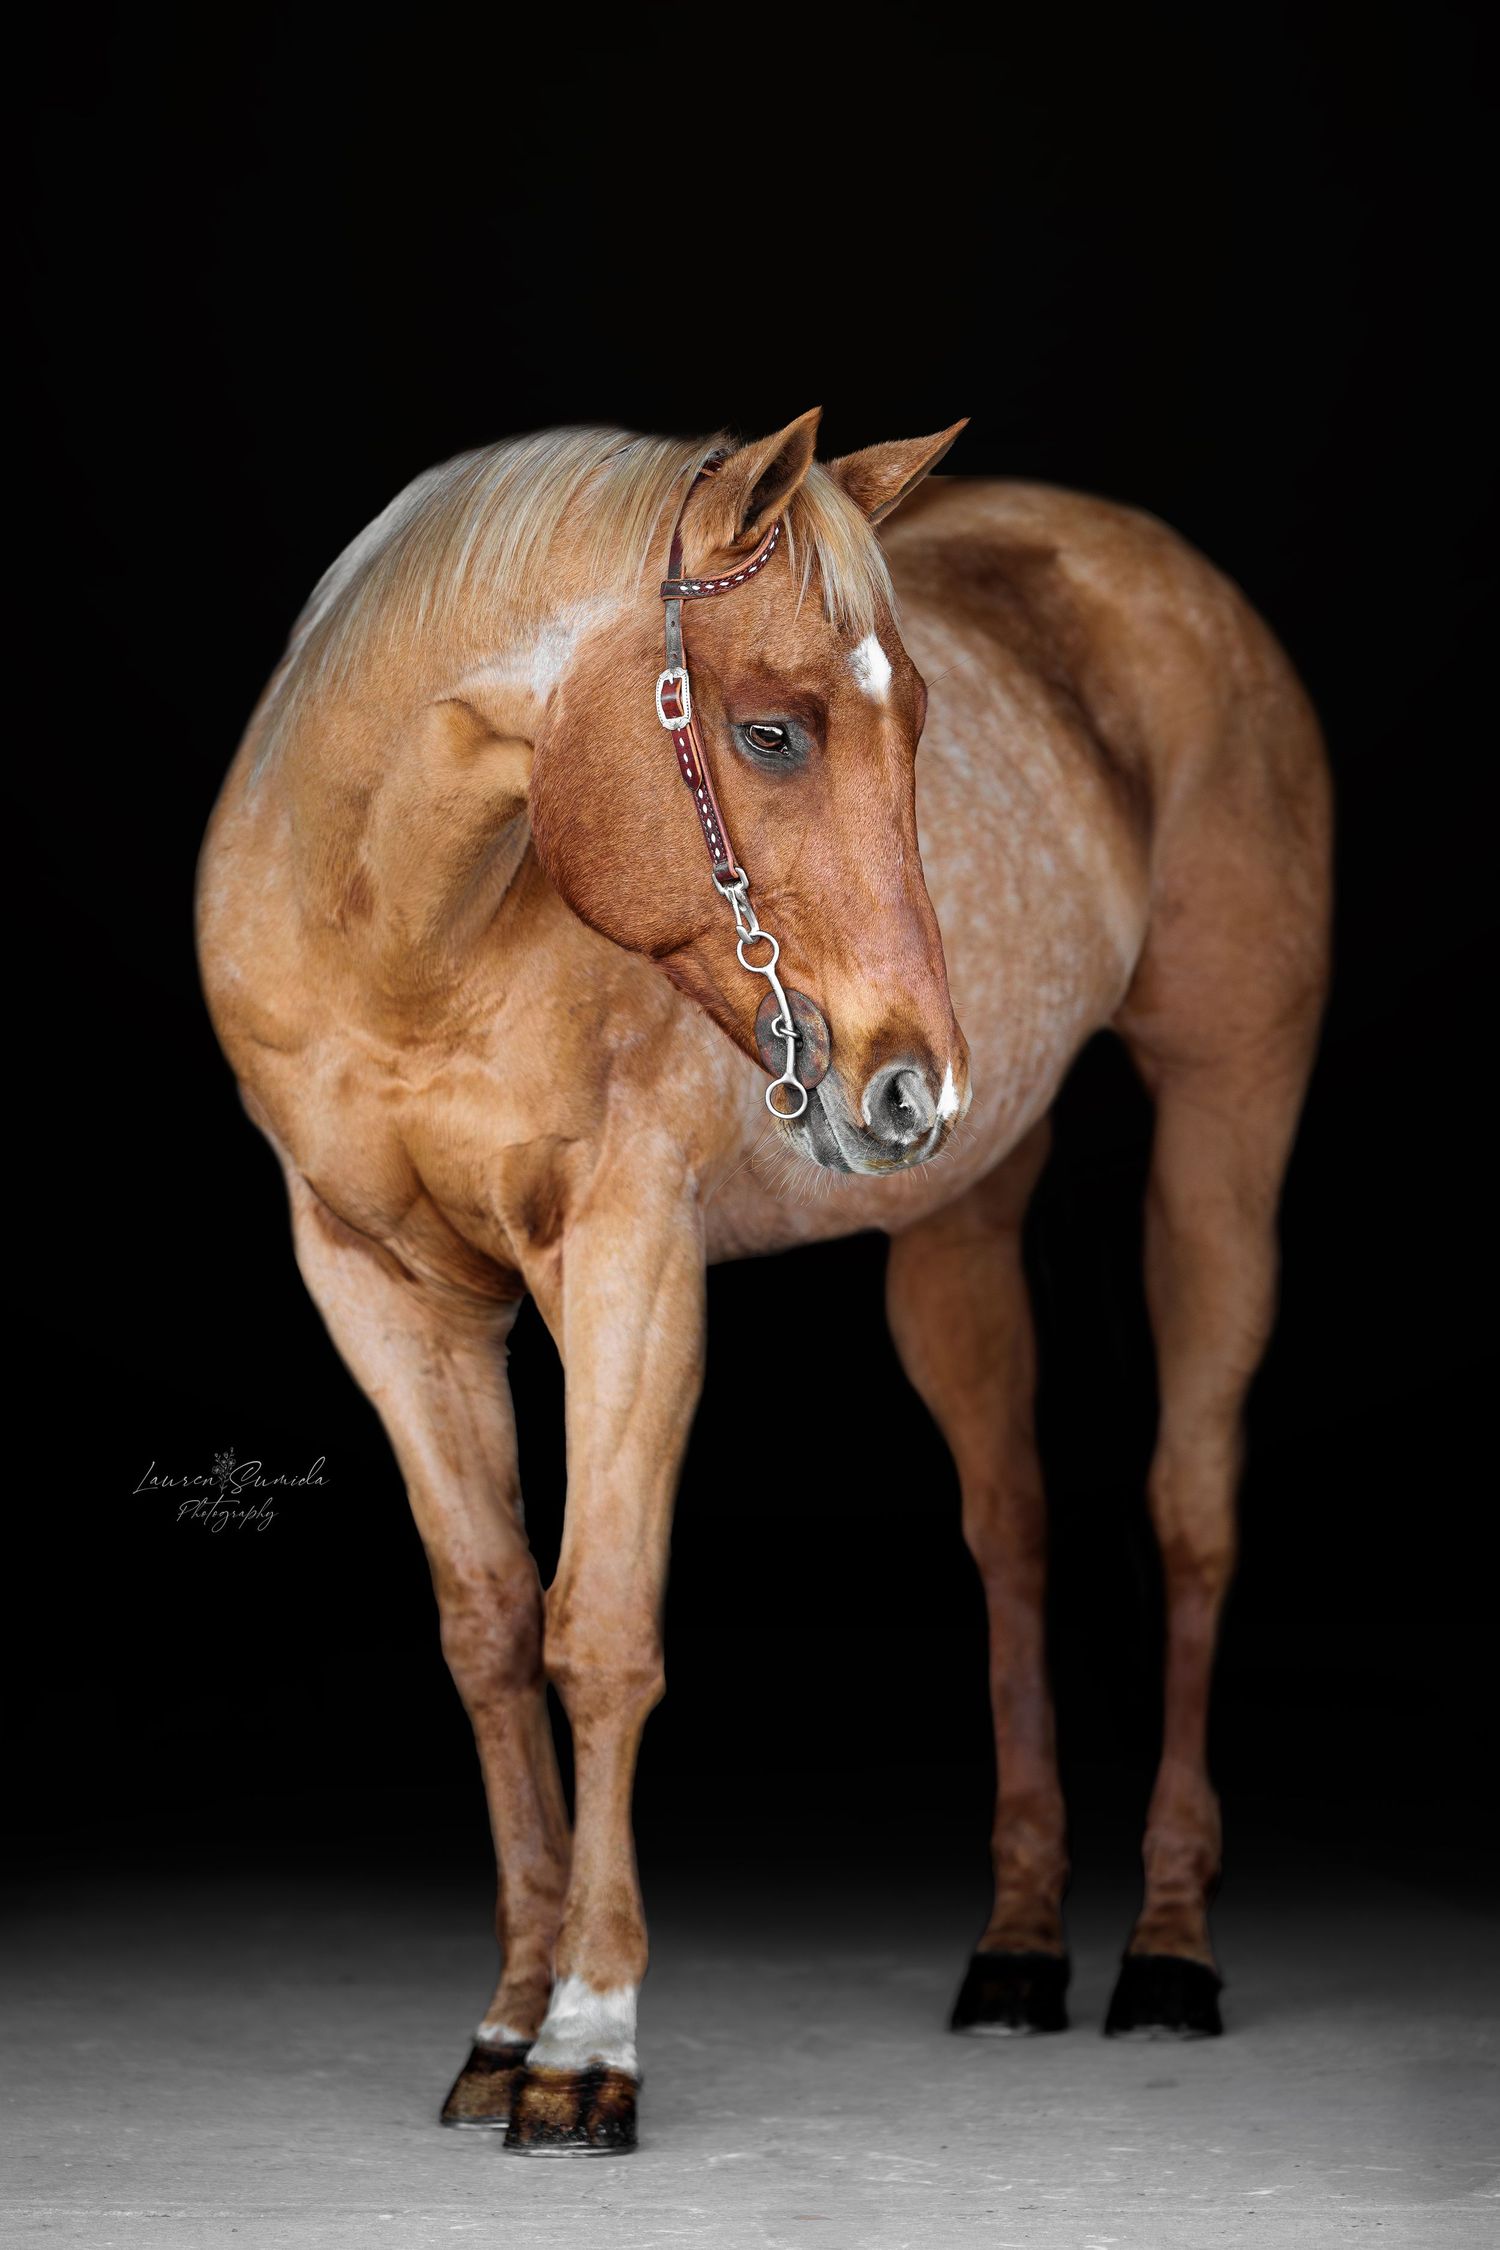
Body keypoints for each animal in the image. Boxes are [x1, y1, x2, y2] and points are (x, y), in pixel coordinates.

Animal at [196, 409, 1330, 2154]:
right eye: (772, 732)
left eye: (918, 716)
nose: (909, 1082)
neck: (405, 931)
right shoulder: (378, 1287)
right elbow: (488, 1628)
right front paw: (504, 2019)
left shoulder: (631, 1259)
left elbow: (598, 1627)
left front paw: (587, 2042)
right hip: (957, 1219)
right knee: (1010, 1531)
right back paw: (1016, 1951)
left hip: (1225, 1129)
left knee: (1191, 1513)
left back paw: (1167, 1951)